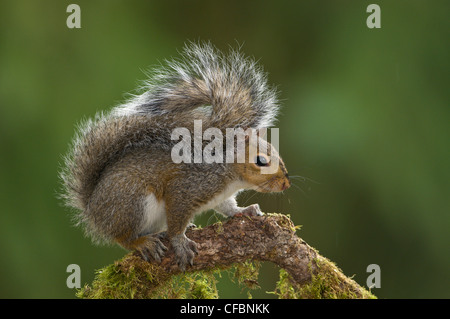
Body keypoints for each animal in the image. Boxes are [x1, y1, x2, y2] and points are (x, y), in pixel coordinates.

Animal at [59, 42, 290, 270]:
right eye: (261, 161)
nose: (286, 183)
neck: (229, 176)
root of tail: (92, 209)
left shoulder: (220, 196)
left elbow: (228, 208)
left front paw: (245, 210)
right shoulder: (187, 188)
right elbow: (177, 219)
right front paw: (180, 243)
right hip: (132, 202)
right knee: (122, 237)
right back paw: (142, 243)